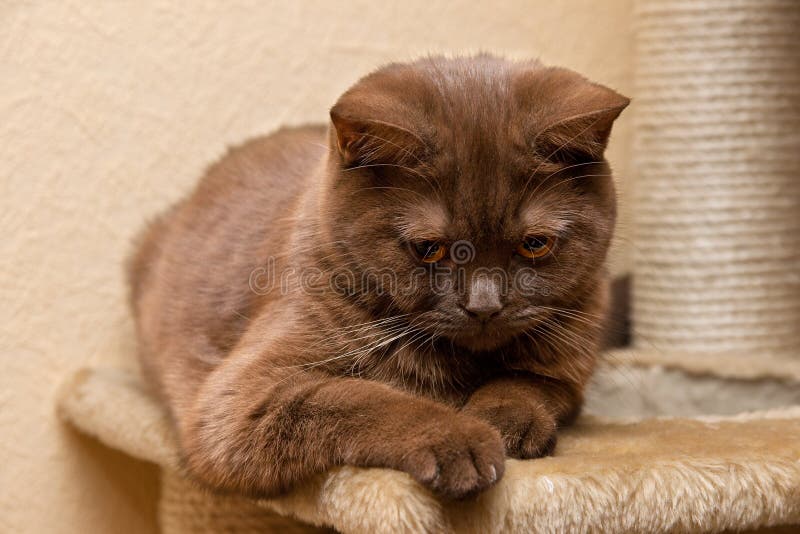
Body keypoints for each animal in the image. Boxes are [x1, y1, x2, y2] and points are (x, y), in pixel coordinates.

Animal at [128, 55, 628, 502]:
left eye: (534, 244)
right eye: (429, 248)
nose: (484, 306)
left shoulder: (571, 362)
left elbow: (528, 383)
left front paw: (504, 421)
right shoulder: (241, 399)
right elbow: (362, 398)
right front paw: (458, 437)